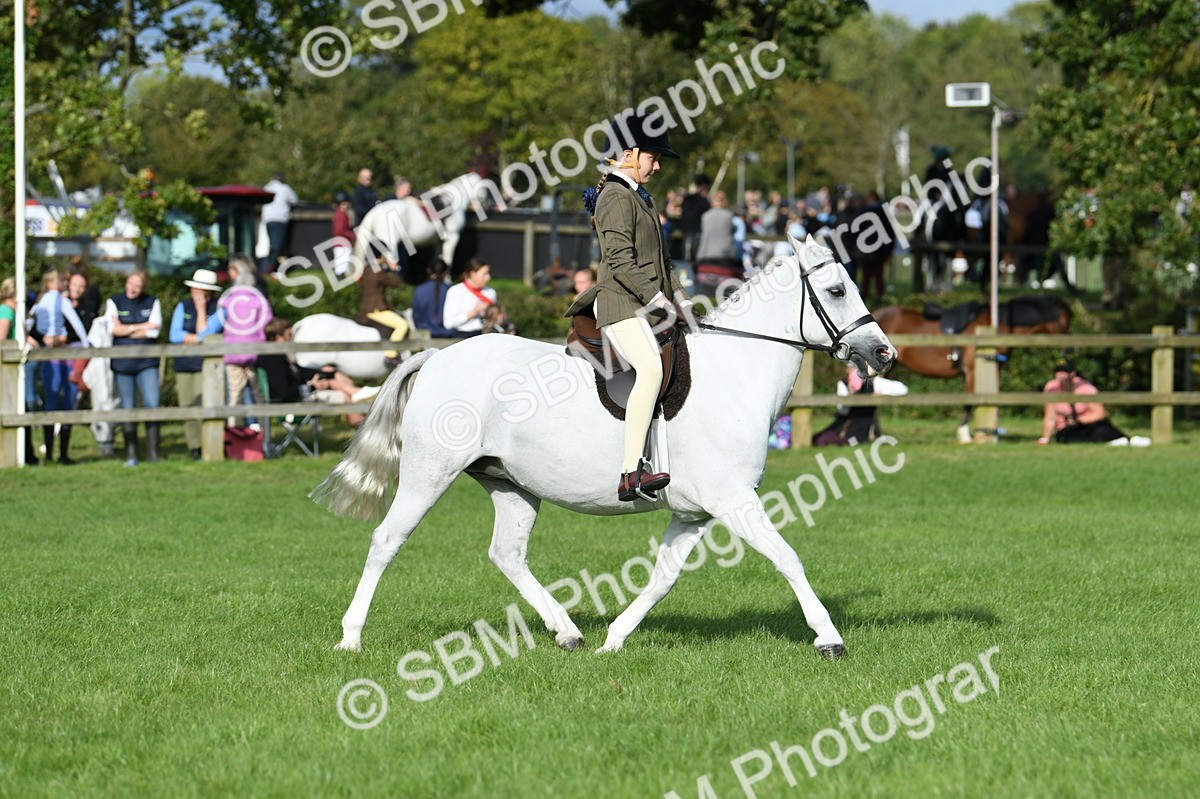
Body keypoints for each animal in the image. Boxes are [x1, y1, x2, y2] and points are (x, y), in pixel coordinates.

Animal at [310, 235, 896, 659]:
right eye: (838, 291)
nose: (883, 353)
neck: (735, 370)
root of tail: (436, 357)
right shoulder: (734, 501)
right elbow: (788, 558)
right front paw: (829, 638)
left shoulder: (695, 513)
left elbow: (662, 579)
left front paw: (614, 639)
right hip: (429, 474)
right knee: (387, 541)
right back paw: (351, 637)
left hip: (511, 484)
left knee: (507, 554)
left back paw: (568, 632)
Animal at [352, 173, 494, 284]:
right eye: (485, 188)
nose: (488, 205)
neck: (451, 203)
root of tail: (374, 212)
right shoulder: (452, 238)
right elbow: (448, 260)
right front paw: (447, 281)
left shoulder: (439, 241)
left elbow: (440, 259)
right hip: (388, 245)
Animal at [874, 296, 1071, 441]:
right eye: (1063, 320)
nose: (1069, 350)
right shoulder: (972, 372)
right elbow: (969, 401)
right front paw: (964, 434)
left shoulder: (994, 370)